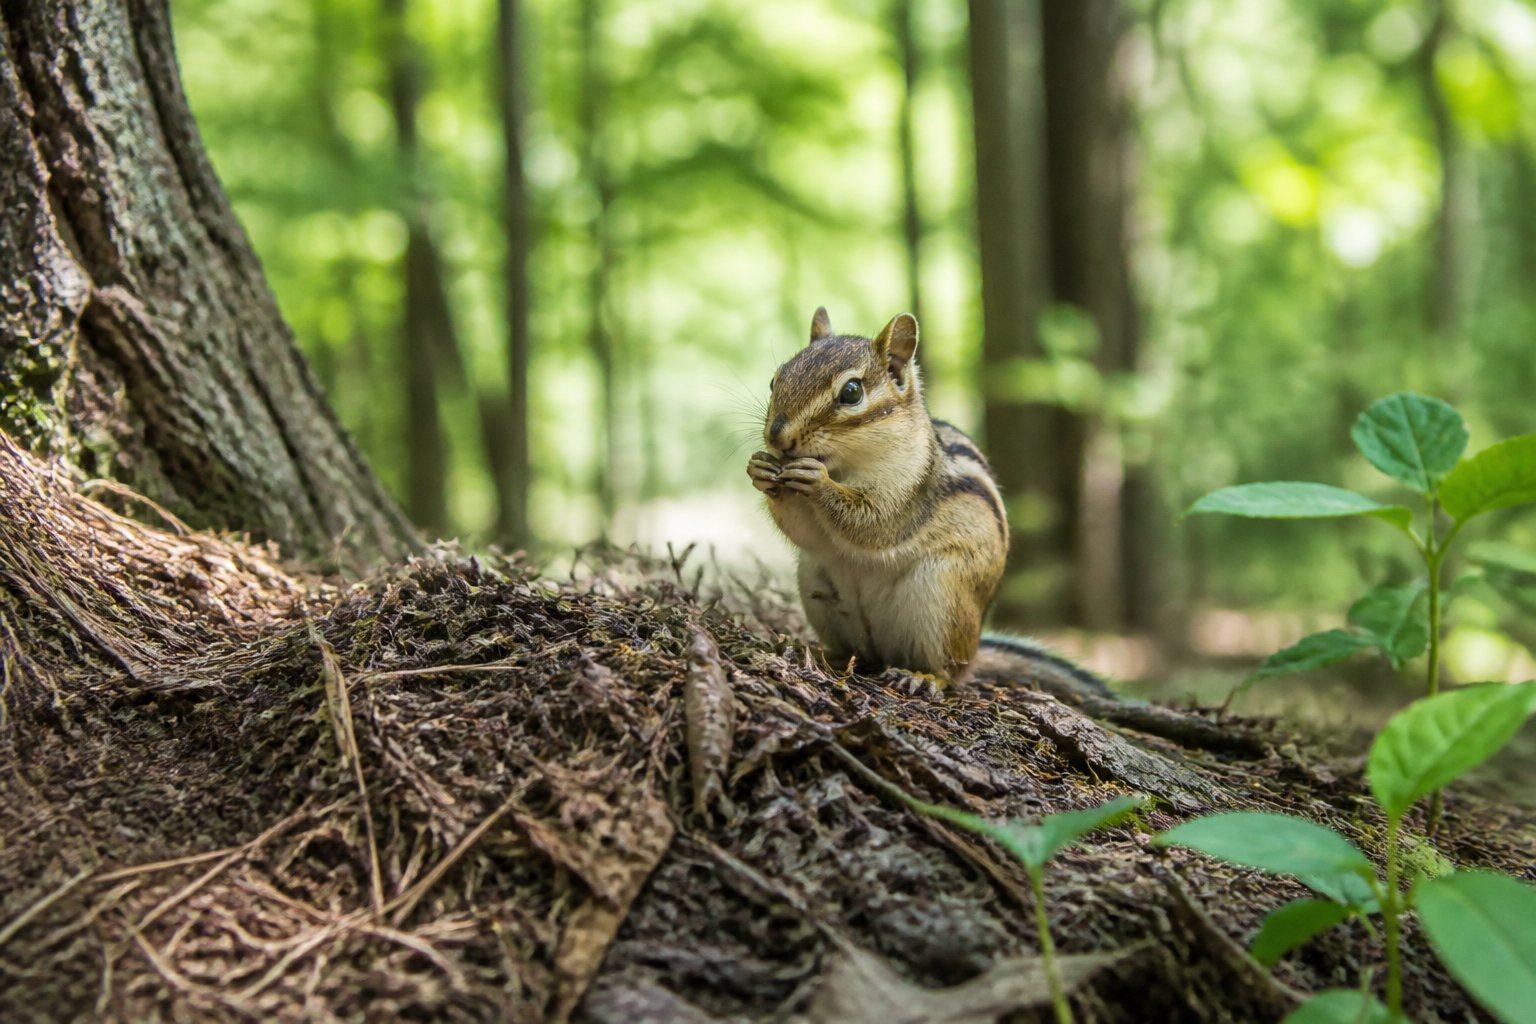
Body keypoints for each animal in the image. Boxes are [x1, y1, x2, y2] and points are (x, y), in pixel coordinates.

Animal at [747, 306, 1114, 701]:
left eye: (851, 392)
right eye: (775, 379)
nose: (777, 437)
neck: (845, 466)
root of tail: (974, 649)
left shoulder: (910, 489)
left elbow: (874, 523)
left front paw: (817, 481)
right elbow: (805, 532)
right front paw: (760, 469)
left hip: (943, 597)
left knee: (949, 672)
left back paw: (923, 677)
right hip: (814, 579)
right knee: (853, 651)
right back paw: (816, 650)